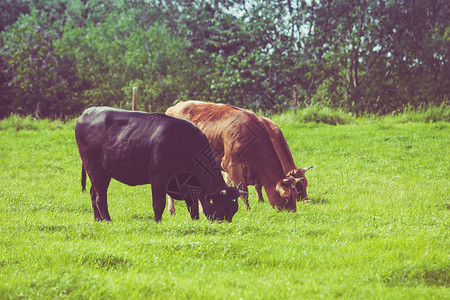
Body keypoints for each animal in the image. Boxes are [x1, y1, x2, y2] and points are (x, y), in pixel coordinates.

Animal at [75, 106, 241, 221]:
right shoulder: (159, 178)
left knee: (93, 193)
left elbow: (192, 206)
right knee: (100, 197)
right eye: (222, 209)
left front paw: (195, 221)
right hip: (95, 169)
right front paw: (157, 222)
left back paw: (98, 220)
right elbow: (159, 203)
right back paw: (107, 220)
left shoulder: (188, 185)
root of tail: (86, 112)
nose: (225, 224)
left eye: (233, 210)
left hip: (101, 172)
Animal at [165, 99, 298, 212]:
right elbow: (243, 191)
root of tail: (174, 107)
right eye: (287, 197)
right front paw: (247, 209)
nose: (293, 212)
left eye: (296, 193)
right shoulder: (231, 165)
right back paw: (171, 210)